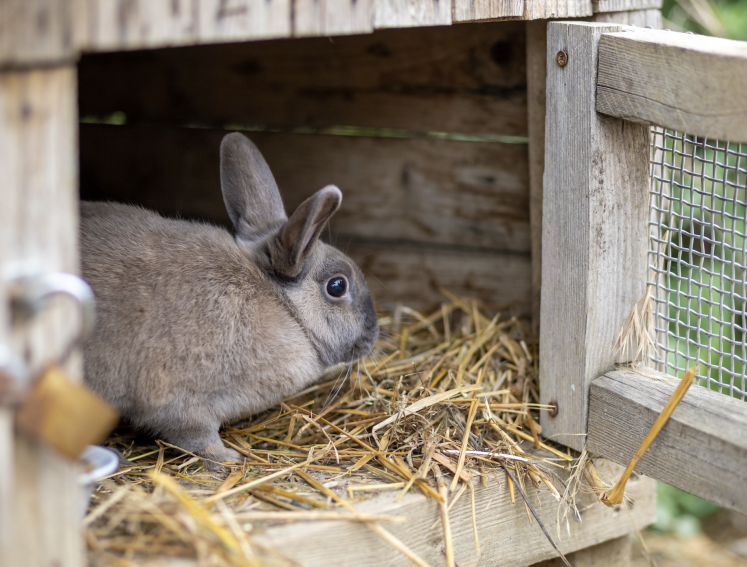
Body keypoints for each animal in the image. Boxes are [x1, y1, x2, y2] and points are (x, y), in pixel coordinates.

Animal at [80, 132, 379, 469]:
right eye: (337, 286)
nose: (374, 333)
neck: (285, 308)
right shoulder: (182, 403)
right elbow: (197, 437)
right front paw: (228, 459)